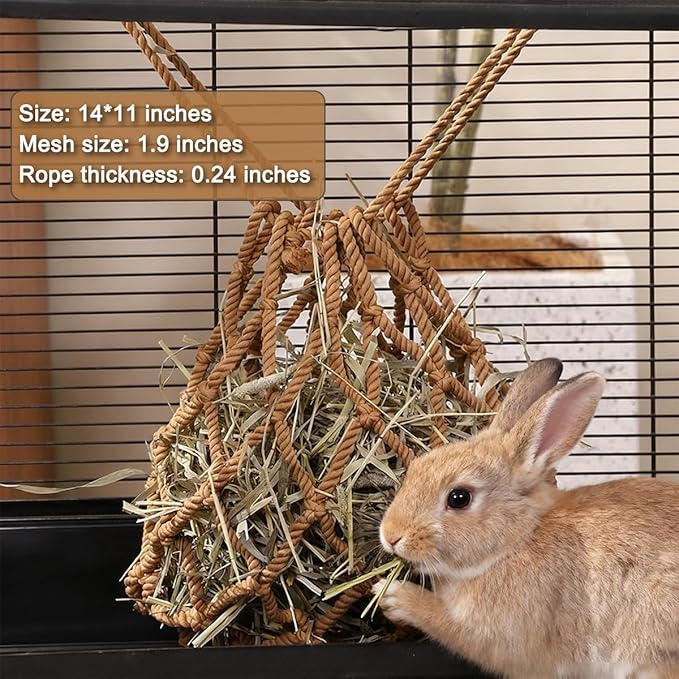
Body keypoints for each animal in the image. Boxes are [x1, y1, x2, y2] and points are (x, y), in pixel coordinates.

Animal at [375, 358, 679, 679]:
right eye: (416, 468)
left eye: (459, 498)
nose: (391, 535)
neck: (517, 542)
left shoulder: (494, 637)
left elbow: (442, 621)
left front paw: (392, 595)